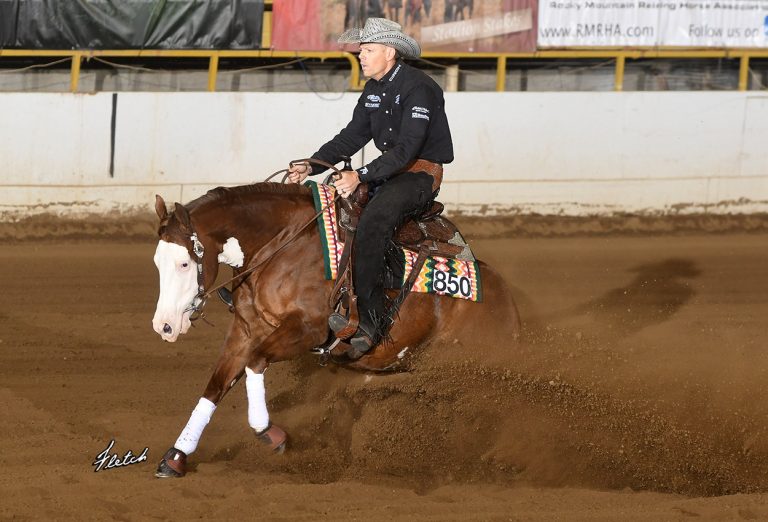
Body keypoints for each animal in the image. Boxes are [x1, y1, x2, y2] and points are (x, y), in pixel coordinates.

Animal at [151, 182, 521, 478]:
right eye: (157, 262)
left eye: (184, 263)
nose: (164, 326)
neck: (281, 246)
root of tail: (507, 302)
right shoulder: (245, 330)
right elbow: (215, 386)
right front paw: (177, 456)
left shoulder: (307, 329)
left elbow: (256, 363)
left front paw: (269, 433)